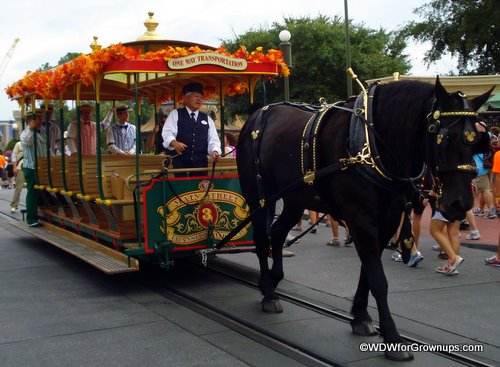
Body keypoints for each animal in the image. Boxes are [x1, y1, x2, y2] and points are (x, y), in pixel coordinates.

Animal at [235, 78, 492, 362]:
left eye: (477, 139)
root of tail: (258, 114)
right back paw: (269, 294)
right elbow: (378, 279)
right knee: (262, 238)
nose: (460, 204)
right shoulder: (362, 220)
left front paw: (361, 317)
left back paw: (272, 279)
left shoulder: (386, 221)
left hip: (293, 199)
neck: (373, 146)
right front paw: (393, 338)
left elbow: (368, 272)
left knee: (278, 233)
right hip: (259, 196)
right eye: (443, 136)